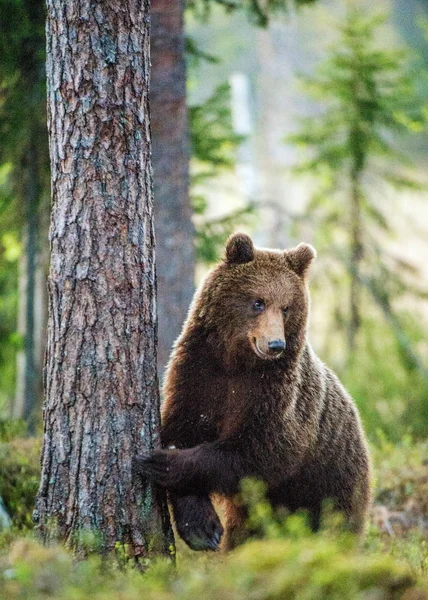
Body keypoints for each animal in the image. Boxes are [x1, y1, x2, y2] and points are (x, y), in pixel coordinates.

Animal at [135, 232, 372, 552]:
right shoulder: (198, 373)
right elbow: (181, 425)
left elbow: (260, 451)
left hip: (330, 485)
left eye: (286, 307)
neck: (236, 362)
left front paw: (164, 463)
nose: (275, 344)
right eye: (258, 302)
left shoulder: (276, 394)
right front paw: (202, 528)